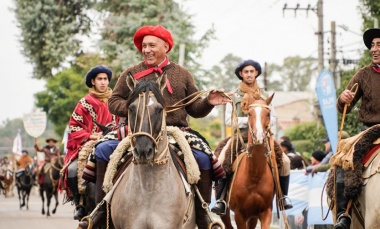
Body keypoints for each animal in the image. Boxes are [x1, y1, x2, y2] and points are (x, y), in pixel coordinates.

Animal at [220, 93, 276, 229]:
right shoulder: (239, 215)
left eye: (268, 114)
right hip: (226, 214)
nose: (259, 136)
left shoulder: (266, 212)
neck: (254, 175)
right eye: (249, 114)